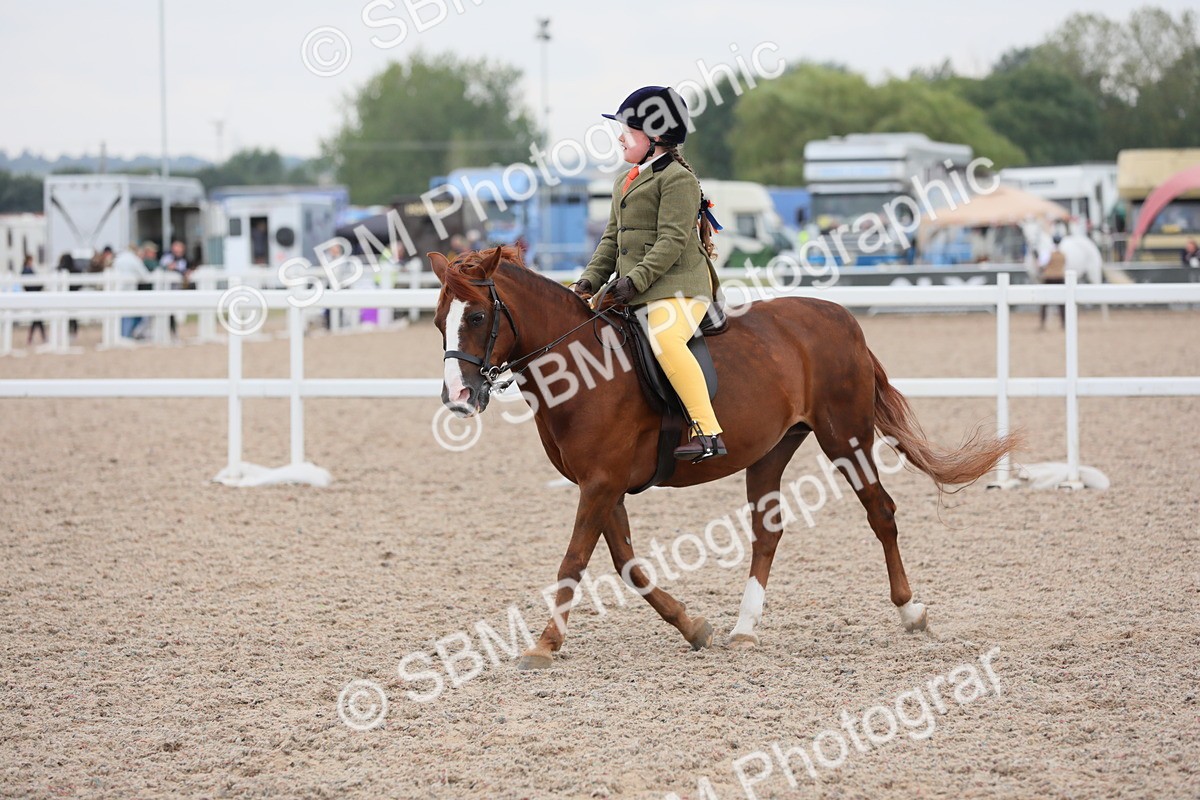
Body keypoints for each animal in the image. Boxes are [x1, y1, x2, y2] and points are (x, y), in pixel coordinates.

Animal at [430, 246, 1017, 670]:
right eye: (439, 321)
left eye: (477, 316)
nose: (458, 398)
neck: (581, 367)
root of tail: (839, 317)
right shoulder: (603, 486)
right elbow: (627, 563)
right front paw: (693, 627)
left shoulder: (600, 483)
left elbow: (574, 560)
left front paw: (544, 644)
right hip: (772, 452)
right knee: (767, 532)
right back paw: (744, 629)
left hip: (845, 439)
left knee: (881, 512)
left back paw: (911, 612)